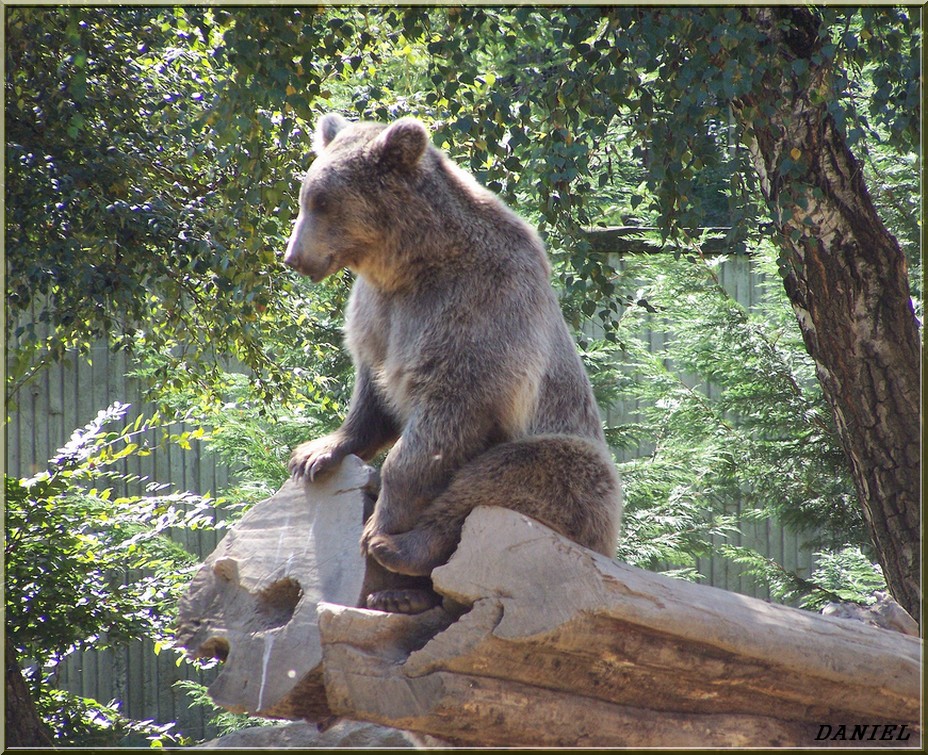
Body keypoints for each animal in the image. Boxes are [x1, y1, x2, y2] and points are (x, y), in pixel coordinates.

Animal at [284, 113, 624, 616]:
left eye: (322, 201)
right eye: (306, 195)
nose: (295, 257)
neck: (410, 264)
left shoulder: (476, 313)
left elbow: (439, 426)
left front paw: (380, 523)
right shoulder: (380, 318)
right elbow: (372, 394)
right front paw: (314, 453)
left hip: (577, 466)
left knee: (527, 474)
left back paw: (399, 549)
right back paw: (399, 595)